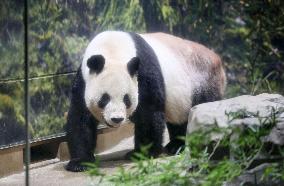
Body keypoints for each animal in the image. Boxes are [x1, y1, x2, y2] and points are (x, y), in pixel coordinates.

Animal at [65, 30, 226, 171]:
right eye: (104, 99)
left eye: (126, 99)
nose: (116, 119)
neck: (113, 49)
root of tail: (217, 59)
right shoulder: (84, 80)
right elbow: (80, 118)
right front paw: (80, 163)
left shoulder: (142, 72)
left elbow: (149, 113)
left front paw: (141, 153)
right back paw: (175, 145)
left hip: (202, 80)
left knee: (199, 108)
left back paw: (178, 146)